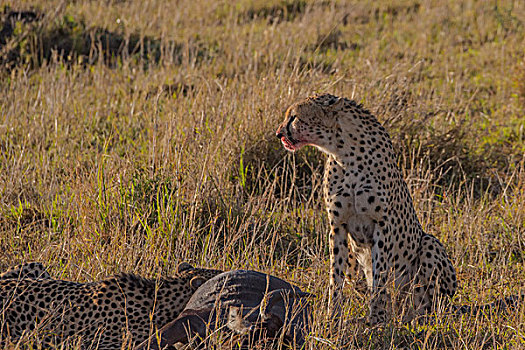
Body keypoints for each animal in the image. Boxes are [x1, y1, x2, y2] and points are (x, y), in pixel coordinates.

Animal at [276, 93, 456, 326]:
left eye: (294, 117)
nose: (278, 134)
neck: (343, 151)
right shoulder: (338, 226)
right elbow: (336, 275)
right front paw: (332, 317)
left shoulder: (382, 225)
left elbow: (380, 275)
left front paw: (377, 319)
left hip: (429, 244)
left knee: (429, 304)